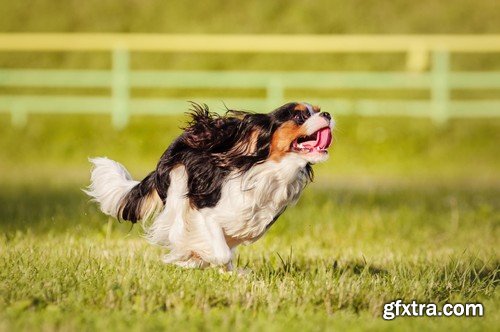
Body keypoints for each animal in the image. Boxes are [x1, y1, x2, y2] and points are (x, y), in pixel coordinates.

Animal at [86, 102, 334, 272]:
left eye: (318, 110)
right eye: (299, 115)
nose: (328, 114)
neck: (268, 169)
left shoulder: (247, 223)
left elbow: (225, 249)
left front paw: (227, 270)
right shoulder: (206, 213)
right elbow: (220, 252)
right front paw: (195, 259)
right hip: (178, 184)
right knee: (177, 229)